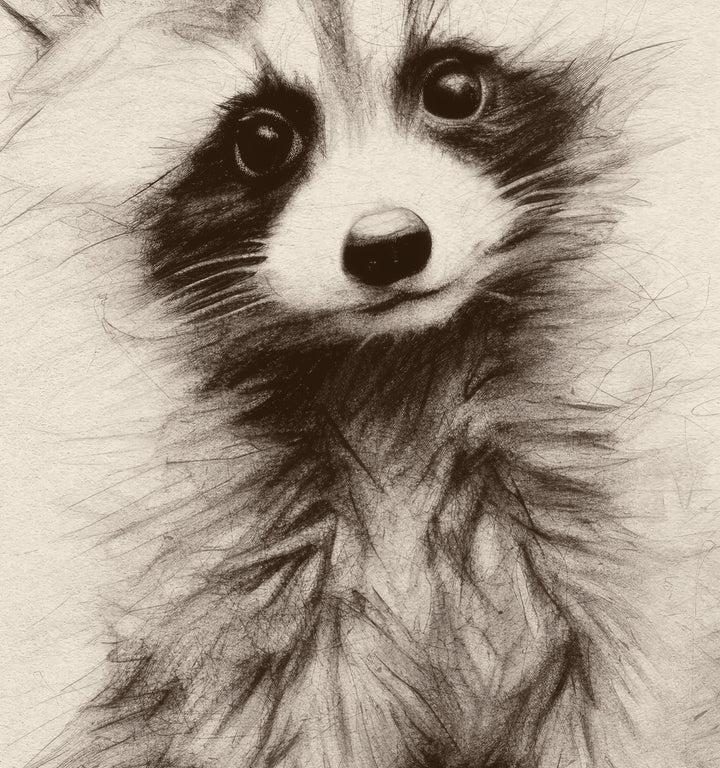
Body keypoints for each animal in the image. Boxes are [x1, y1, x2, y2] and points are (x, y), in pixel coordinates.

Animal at [0, 1, 716, 767]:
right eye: (262, 140)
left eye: (455, 89)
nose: (388, 246)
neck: (397, 375)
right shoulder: (251, 602)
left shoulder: (603, 545)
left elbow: (621, 705)